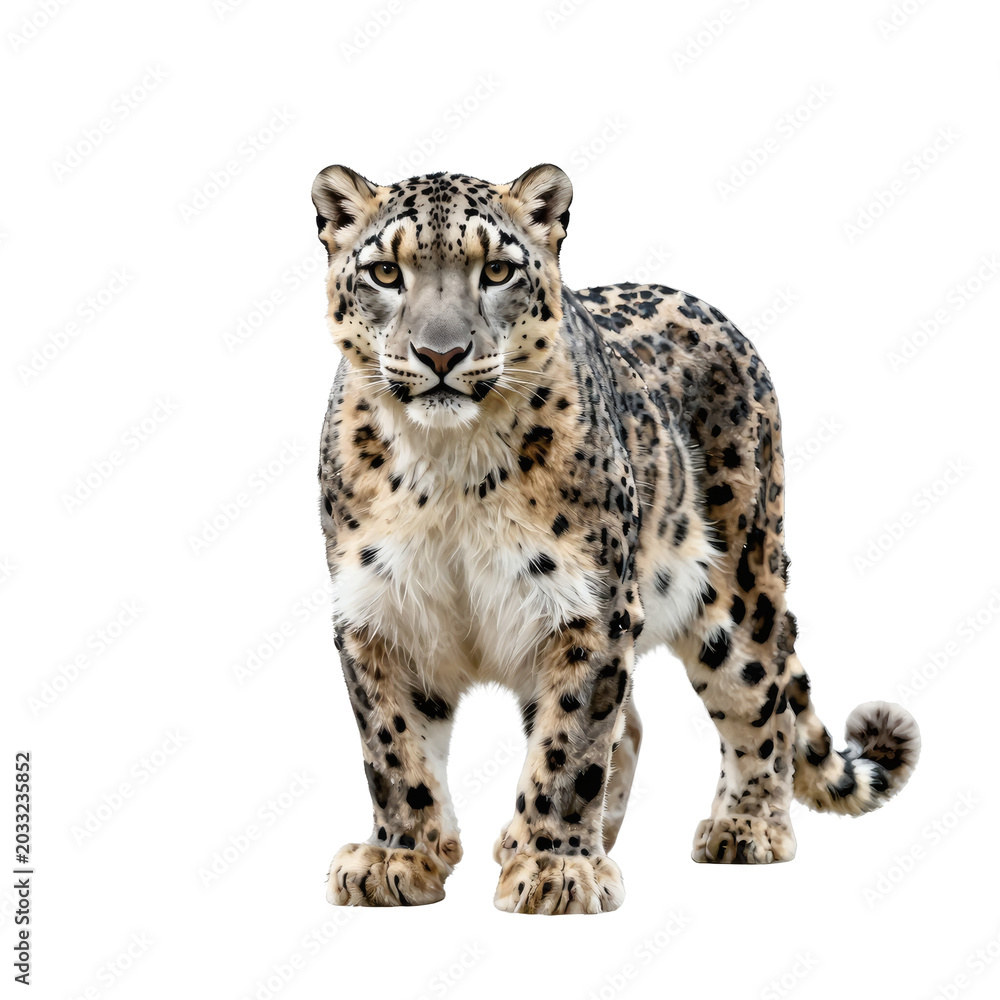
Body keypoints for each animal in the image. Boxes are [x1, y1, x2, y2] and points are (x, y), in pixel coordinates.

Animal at [311, 163, 920, 914]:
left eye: (497, 270)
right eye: (387, 272)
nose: (441, 353)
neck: (448, 465)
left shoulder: (589, 606)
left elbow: (571, 740)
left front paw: (555, 869)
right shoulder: (378, 608)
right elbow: (393, 746)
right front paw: (398, 858)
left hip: (741, 586)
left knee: (762, 700)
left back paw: (745, 828)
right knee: (632, 726)